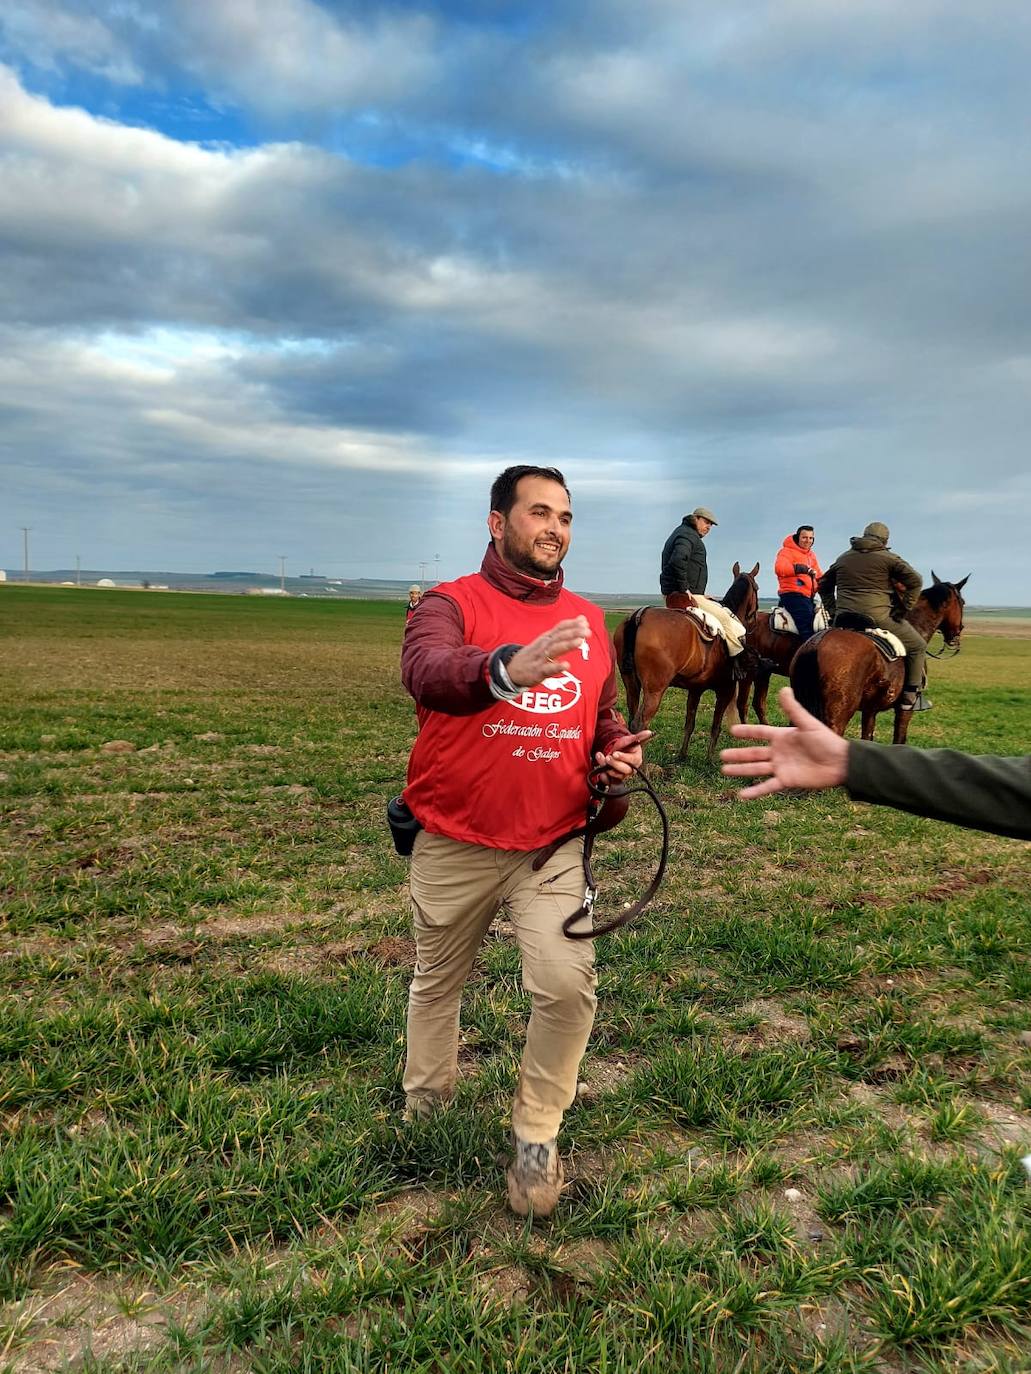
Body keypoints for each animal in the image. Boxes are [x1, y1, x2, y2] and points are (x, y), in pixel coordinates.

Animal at [613, 560, 769, 763]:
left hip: (631, 683)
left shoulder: (695, 690)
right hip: (654, 690)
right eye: (757, 588)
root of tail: (638, 616)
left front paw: (682, 755)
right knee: (641, 725)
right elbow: (715, 725)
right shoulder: (725, 690)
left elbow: (690, 722)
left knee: (632, 722)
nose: (754, 621)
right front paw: (710, 759)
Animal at [791, 568, 967, 741]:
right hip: (836, 718)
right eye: (963, 602)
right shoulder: (904, 711)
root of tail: (817, 643)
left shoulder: (870, 710)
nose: (958, 632)